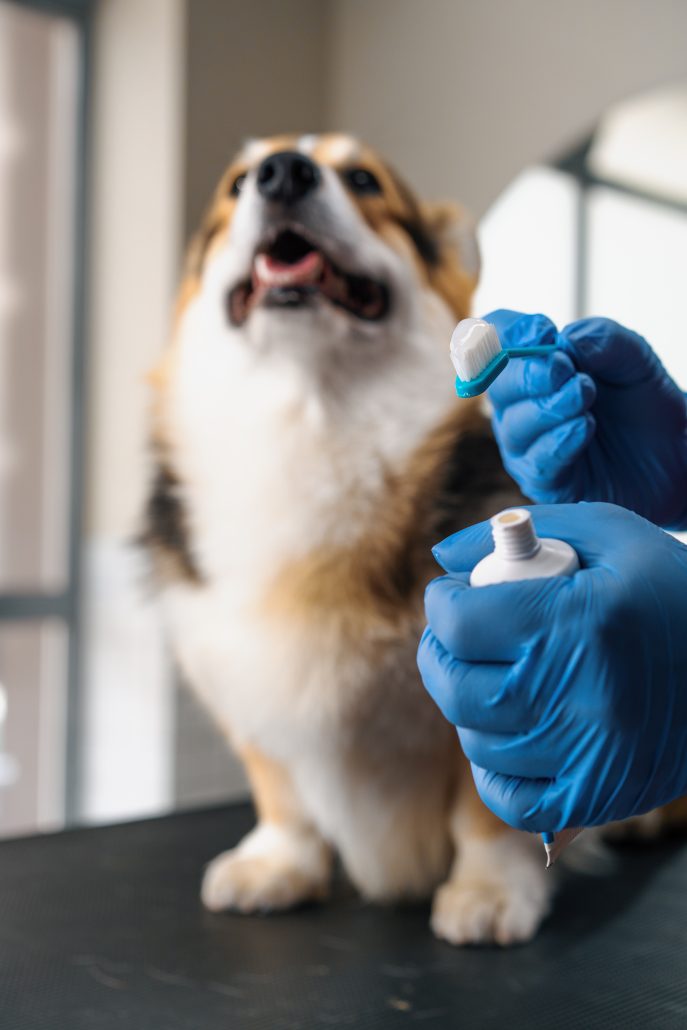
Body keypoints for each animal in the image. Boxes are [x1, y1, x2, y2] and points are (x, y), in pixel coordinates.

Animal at [146, 132, 552, 943]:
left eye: (363, 179)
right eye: (237, 183)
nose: (281, 174)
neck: (310, 418)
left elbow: (486, 809)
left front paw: (491, 890)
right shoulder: (246, 680)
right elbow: (280, 790)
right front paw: (277, 865)